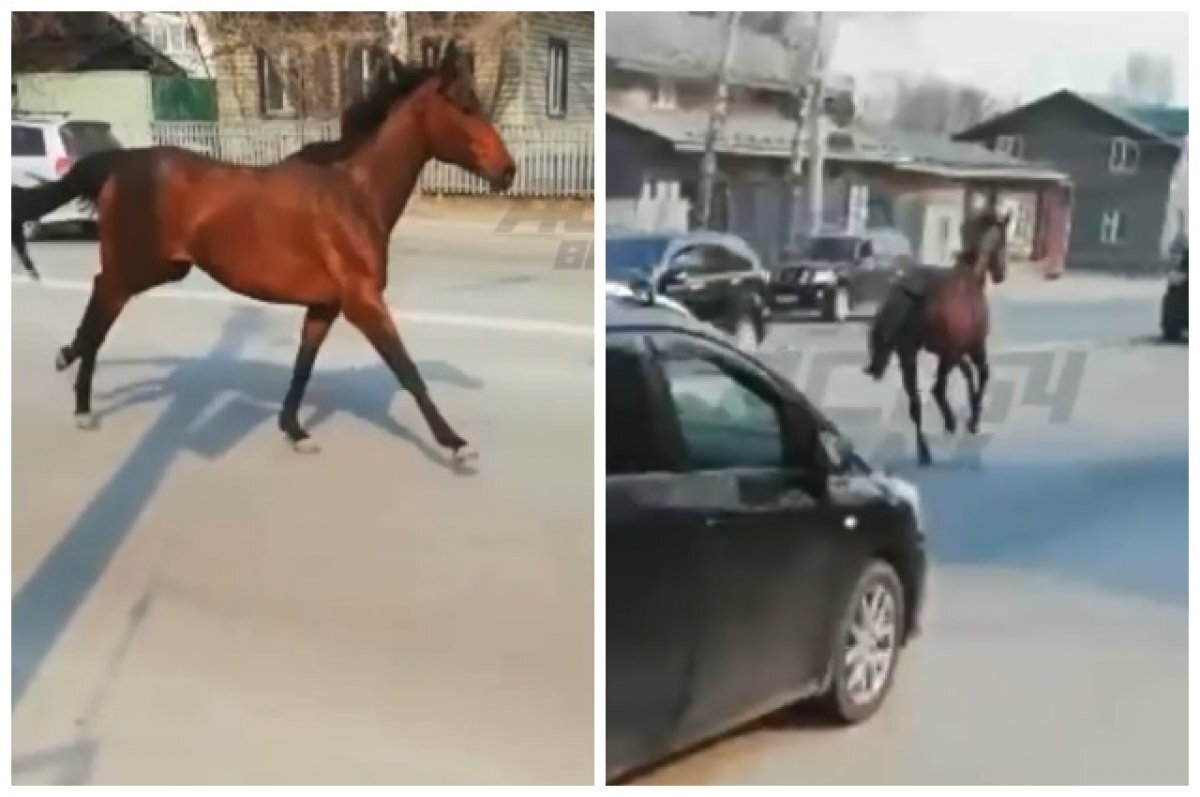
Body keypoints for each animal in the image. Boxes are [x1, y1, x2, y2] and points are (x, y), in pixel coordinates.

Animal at [18, 43, 513, 463]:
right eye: (466, 107)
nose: (507, 170)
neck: (353, 194)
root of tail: (122, 162)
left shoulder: (325, 306)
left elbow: (303, 367)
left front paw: (294, 431)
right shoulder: (364, 301)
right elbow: (406, 369)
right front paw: (454, 443)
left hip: (166, 268)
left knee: (101, 303)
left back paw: (71, 367)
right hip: (138, 266)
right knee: (101, 307)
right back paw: (78, 392)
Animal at [864, 206, 1012, 468]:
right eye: (1005, 241)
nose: (1000, 275)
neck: (970, 278)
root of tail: (913, 293)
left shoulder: (953, 351)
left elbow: (969, 374)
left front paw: (972, 414)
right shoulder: (973, 347)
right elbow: (983, 374)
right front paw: (973, 420)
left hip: (909, 354)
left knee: (916, 402)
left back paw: (925, 452)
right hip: (945, 356)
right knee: (937, 389)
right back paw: (950, 424)